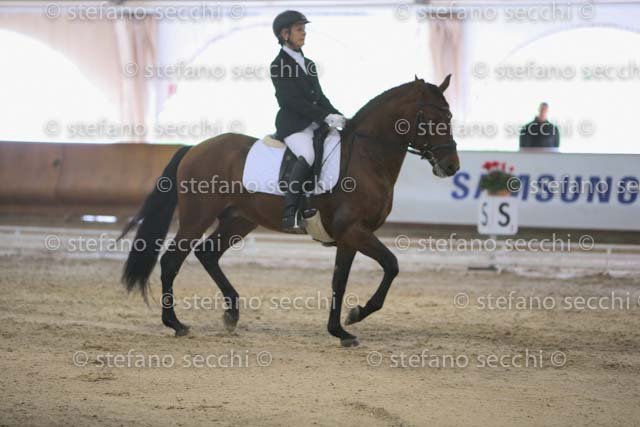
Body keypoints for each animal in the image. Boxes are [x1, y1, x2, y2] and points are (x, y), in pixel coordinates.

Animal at [119, 75, 460, 347]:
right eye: (432, 117)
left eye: (450, 115)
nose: (451, 166)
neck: (367, 155)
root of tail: (195, 148)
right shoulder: (354, 230)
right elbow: (391, 265)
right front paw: (356, 315)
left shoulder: (349, 237)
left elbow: (340, 281)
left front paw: (340, 330)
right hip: (196, 217)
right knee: (171, 261)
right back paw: (176, 324)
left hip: (239, 220)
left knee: (208, 253)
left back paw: (231, 314)